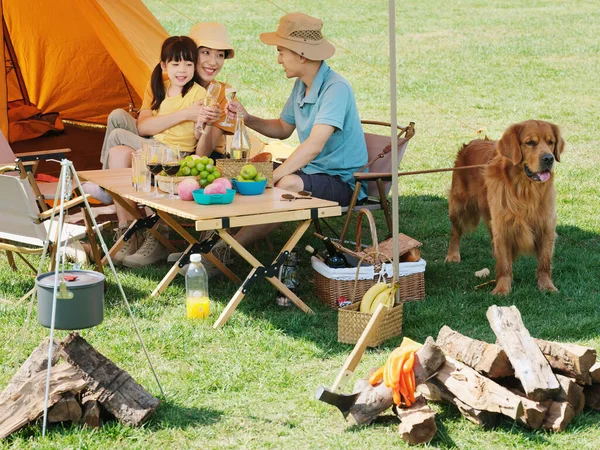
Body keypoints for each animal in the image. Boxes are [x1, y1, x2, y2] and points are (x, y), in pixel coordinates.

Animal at [446, 120, 568, 296]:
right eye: (530, 142)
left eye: (551, 142)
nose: (549, 159)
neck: (525, 190)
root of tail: (472, 142)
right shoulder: (503, 226)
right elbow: (504, 264)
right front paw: (502, 288)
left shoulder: (546, 226)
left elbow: (544, 262)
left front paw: (547, 286)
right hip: (459, 208)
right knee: (455, 231)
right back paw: (453, 255)